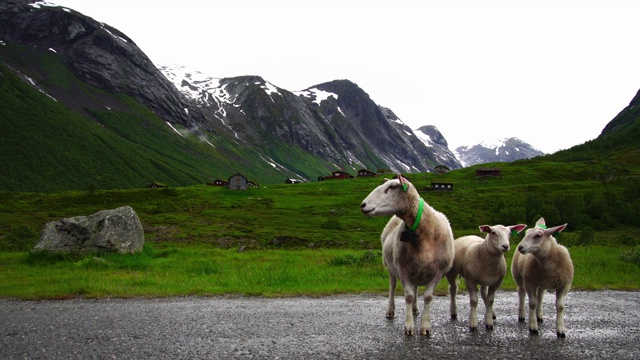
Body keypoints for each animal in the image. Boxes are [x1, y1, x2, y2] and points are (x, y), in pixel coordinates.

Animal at [360, 176, 456, 336]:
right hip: (390, 266)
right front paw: (409, 326)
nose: (363, 205)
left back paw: (416, 309)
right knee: (392, 286)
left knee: (416, 287)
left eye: (392, 187)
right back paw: (391, 310)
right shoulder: (402, 268)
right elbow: (409, 296)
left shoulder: (439, 271)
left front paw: (425, 326)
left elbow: (428, 296)